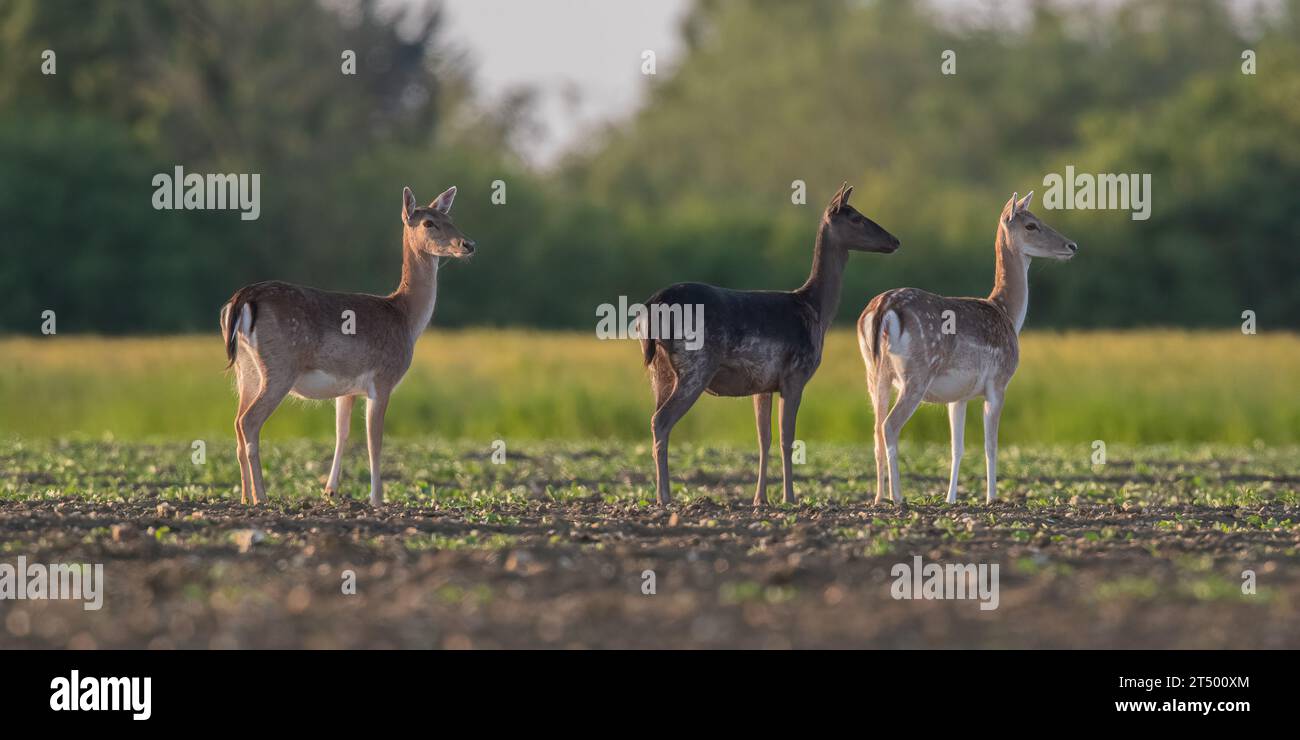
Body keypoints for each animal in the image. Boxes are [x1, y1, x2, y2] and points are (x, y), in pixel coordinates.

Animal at [220, 187, 475, 504]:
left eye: (450, 218)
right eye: (429, 222)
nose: (468, 244)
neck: (406, 318)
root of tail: (242, 298)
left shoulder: (348, 389)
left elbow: (342, 433)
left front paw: (330, 490)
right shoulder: (382, 379)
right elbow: (374, 440)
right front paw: (377, 499)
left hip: (246, 370)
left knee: (236, 422)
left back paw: (245, 497)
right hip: (279, 366)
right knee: (249, 422)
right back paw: (262, 497)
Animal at [642, 184, 904, 507]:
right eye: (855, 216)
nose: (894, 240)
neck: (816, 310)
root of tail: (652, 306)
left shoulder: (763, 383)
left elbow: (763, 438)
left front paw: (760, 498)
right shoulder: (795, 375)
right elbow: (786, 438)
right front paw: (789, 497)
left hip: (659, 370)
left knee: (656, 420)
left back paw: (660, 494)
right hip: (696, 365)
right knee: (661, 420)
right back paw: (665, 497)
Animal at [863, 189, 1076, 504]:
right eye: (1031, 225)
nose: (1072, 245)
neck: (1007, 313)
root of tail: (883, 309)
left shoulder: (958, 396)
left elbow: (957, 448)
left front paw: (951, 498)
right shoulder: (998, 383)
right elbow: (991, 445)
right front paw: (991, 498)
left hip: (875, 372)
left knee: (876, 429)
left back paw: (879, 498)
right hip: (916, 375)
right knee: (889, 425)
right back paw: (898, 497)